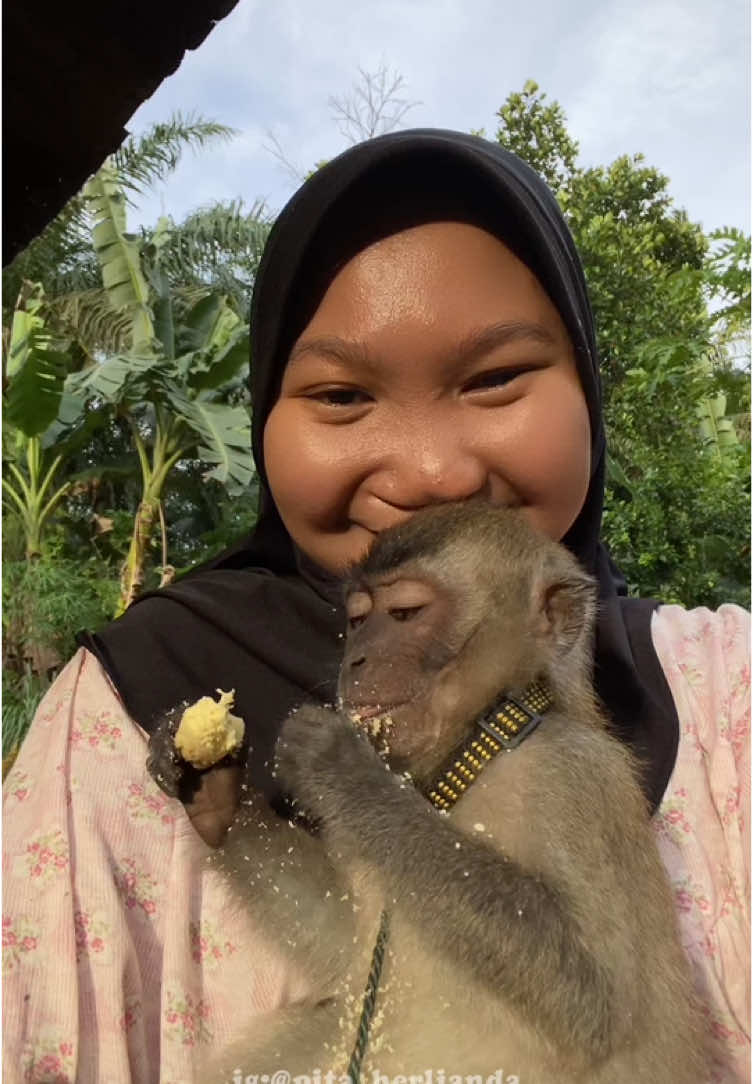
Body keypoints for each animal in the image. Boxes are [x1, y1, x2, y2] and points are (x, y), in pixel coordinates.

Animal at [146, 500, 706, 1084]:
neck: (478, 743)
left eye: (406, 613)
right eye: (357, 621)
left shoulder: (573, 778)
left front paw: (347, 770)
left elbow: (594, 1000)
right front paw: (217, 797)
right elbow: (342, 943)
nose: (355, 661)